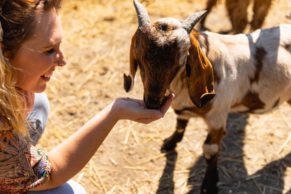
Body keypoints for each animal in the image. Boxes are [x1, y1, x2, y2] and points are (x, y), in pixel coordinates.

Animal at [124, 0, 291, 193]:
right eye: (140, 57)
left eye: (180, 61)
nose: (153, 102)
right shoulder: (182, 109)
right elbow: (180, 123)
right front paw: (170, 143)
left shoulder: (217, 117)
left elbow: (210, 149)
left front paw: (209, 184)